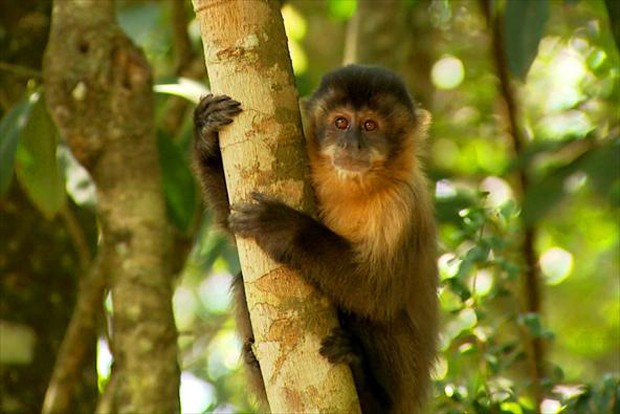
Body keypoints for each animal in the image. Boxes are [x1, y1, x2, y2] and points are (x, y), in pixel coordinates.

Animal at [193, 64, 436, 414]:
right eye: (340, 122)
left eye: (370, 125)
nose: (352, 144)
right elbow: (231, 222)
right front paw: (205, 133)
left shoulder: (402, 206)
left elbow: (376, 293)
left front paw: (282, 227)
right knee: (242, 283)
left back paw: (369, 391)